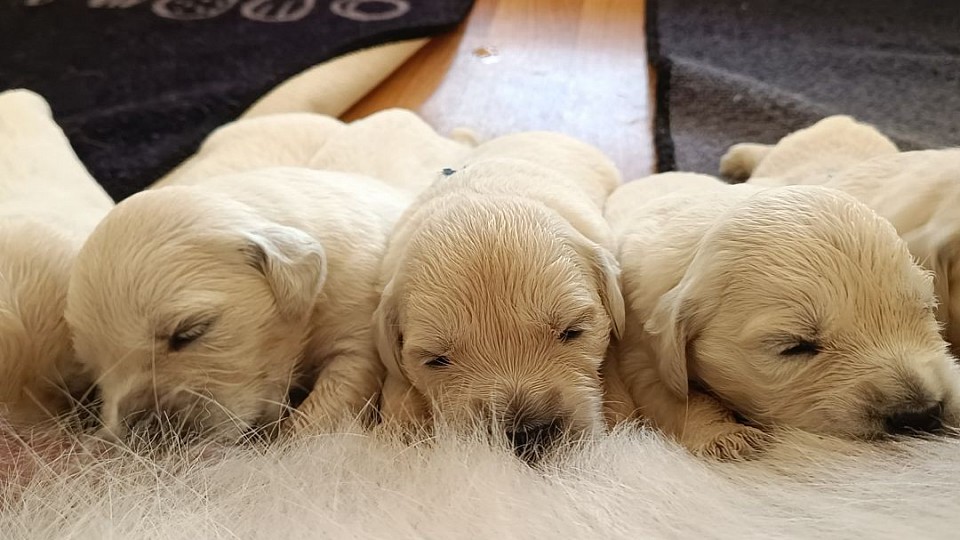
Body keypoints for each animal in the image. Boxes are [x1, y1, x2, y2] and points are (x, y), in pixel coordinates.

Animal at [604, 173, 960, 460]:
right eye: (794, 346)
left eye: (924, 310)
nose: (919, 414)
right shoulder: (642, 347)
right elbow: (676, 397)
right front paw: (726, 435)